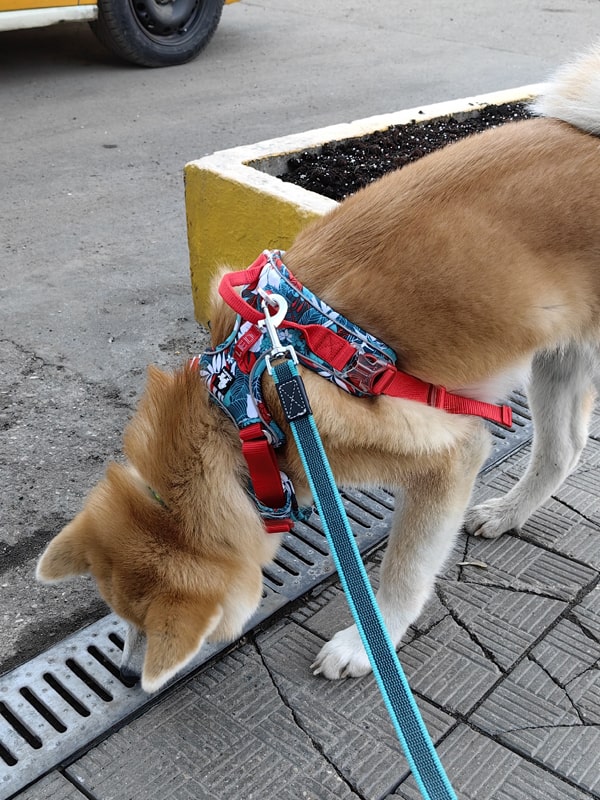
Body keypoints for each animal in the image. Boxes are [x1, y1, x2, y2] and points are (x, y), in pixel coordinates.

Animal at [35, 45, 600, 692]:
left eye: (148, 624)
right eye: (119, 615)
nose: (127, 677)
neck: (243, 407)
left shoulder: (447, 456)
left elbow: (406, 571)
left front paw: (366, 643)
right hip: (559, 358)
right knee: (563, 451)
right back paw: (509, 514)